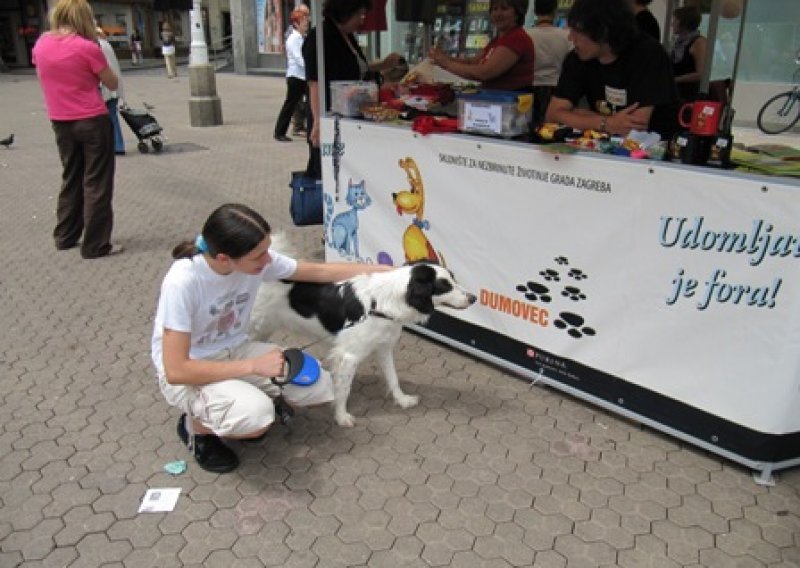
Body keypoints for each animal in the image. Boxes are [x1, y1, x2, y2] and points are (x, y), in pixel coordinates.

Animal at [250, 258, 476, 426]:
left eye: (454, 279)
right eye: (444, 286)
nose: (473, 298)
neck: (383, 302)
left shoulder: (384, 347)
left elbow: (393, 378)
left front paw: (402, 400)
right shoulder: (348, 356)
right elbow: (343, 389)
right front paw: (341, 417)